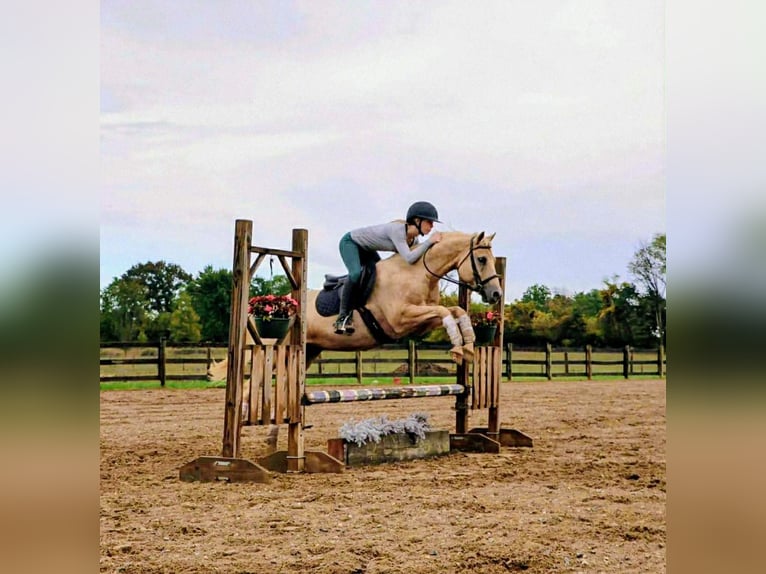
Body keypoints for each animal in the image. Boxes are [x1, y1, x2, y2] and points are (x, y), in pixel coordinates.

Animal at [207, 230, 502, 381]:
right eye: (482, 259)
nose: (496, 294)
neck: (416, 273)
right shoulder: (400, 320)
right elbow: (445, 312)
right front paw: (459, 348)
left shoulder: (418, 324)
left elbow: (455, 312)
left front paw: (468, 345)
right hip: (278, 348)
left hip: (308, 352)